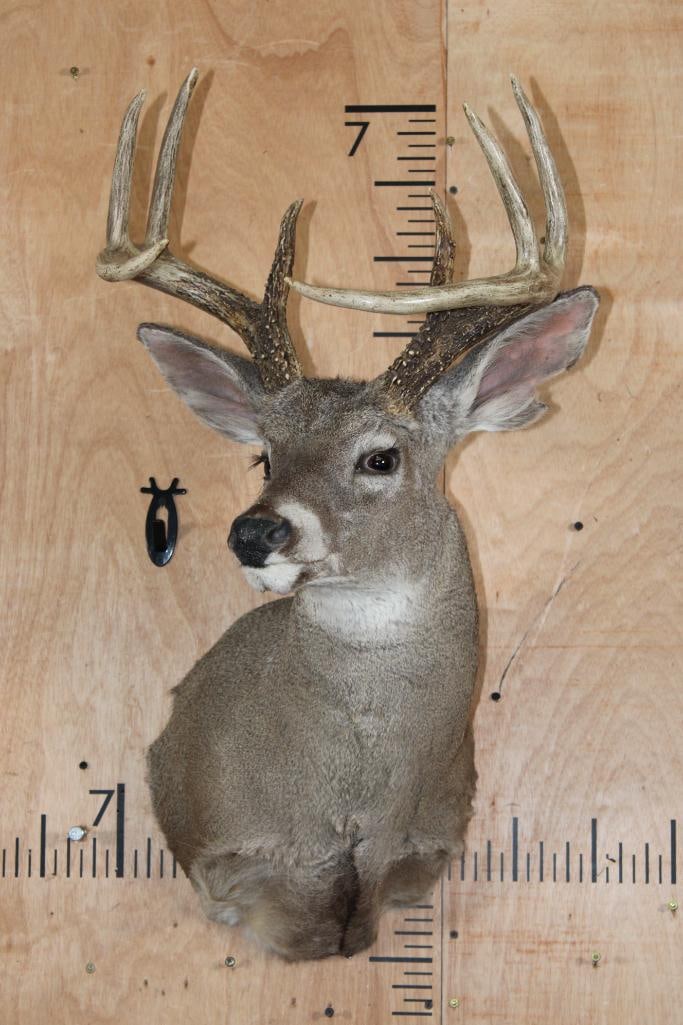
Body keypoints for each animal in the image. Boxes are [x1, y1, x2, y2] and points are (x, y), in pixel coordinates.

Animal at [96, 69, 598, 962]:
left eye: (379, 457)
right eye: (264, 455)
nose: (255, 530)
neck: (355, 808)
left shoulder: (424, 846)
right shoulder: (228, 851)